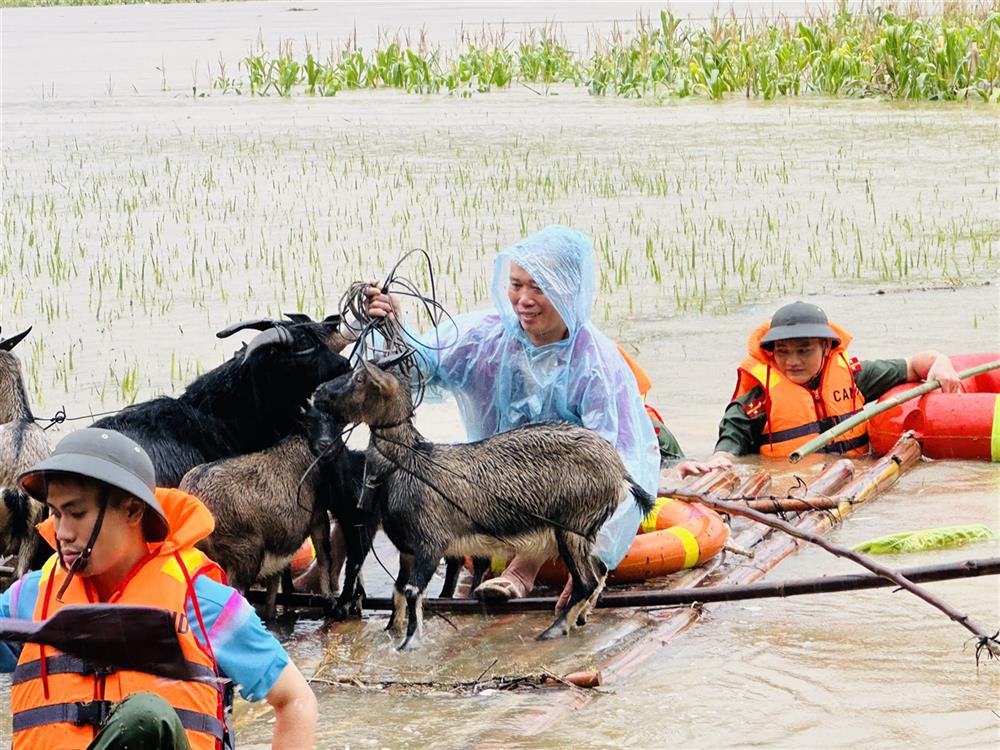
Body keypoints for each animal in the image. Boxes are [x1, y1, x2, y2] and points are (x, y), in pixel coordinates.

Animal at [186, 408, 342, 620]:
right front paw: (330, 601)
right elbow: (324, 557)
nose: (328, 447)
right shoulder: (317, 514)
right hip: (244, 556)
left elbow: (272, 593)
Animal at [312, 358, 656, 652]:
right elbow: (398, 590)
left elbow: (412, 591)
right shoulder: (407, 549)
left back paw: (555, 629)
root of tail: (620, 472)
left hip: (572, 524)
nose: (317, 393)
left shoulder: (430, 544)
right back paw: (580, 617)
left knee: (586, 580)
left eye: (359, 379)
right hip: (584, 531)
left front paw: (409, 644)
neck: (406, 465)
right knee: (598, 570)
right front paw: (391, 632)